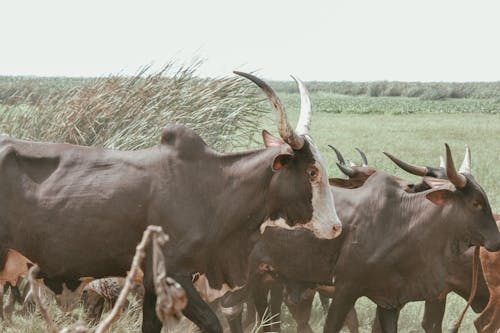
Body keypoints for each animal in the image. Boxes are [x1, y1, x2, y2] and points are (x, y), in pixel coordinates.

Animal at [0, 71, 342, 330]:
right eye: (311, 171)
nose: (336, 227)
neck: (214, 190)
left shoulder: (153, 283)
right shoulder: (173, 275)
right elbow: (211, 322)